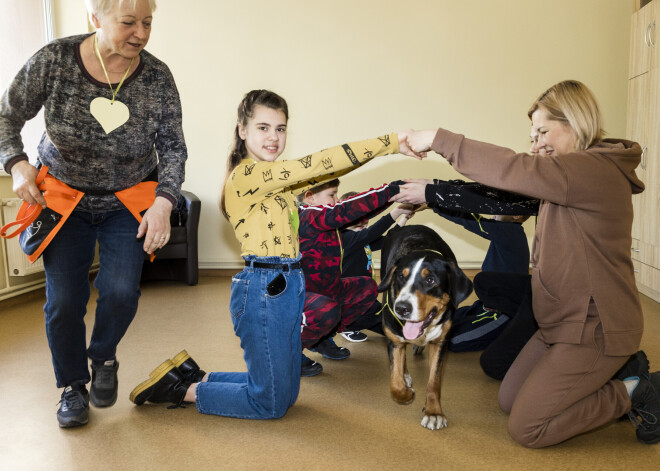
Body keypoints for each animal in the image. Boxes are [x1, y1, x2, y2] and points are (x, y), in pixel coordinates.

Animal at [376, 225, 474, 432]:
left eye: (430, 280)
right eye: (401, 277)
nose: (401, 308)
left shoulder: (440, 342)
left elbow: (434, 383)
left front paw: (434, 412)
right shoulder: (393, 338)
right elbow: (395, 381)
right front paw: (406, 394)